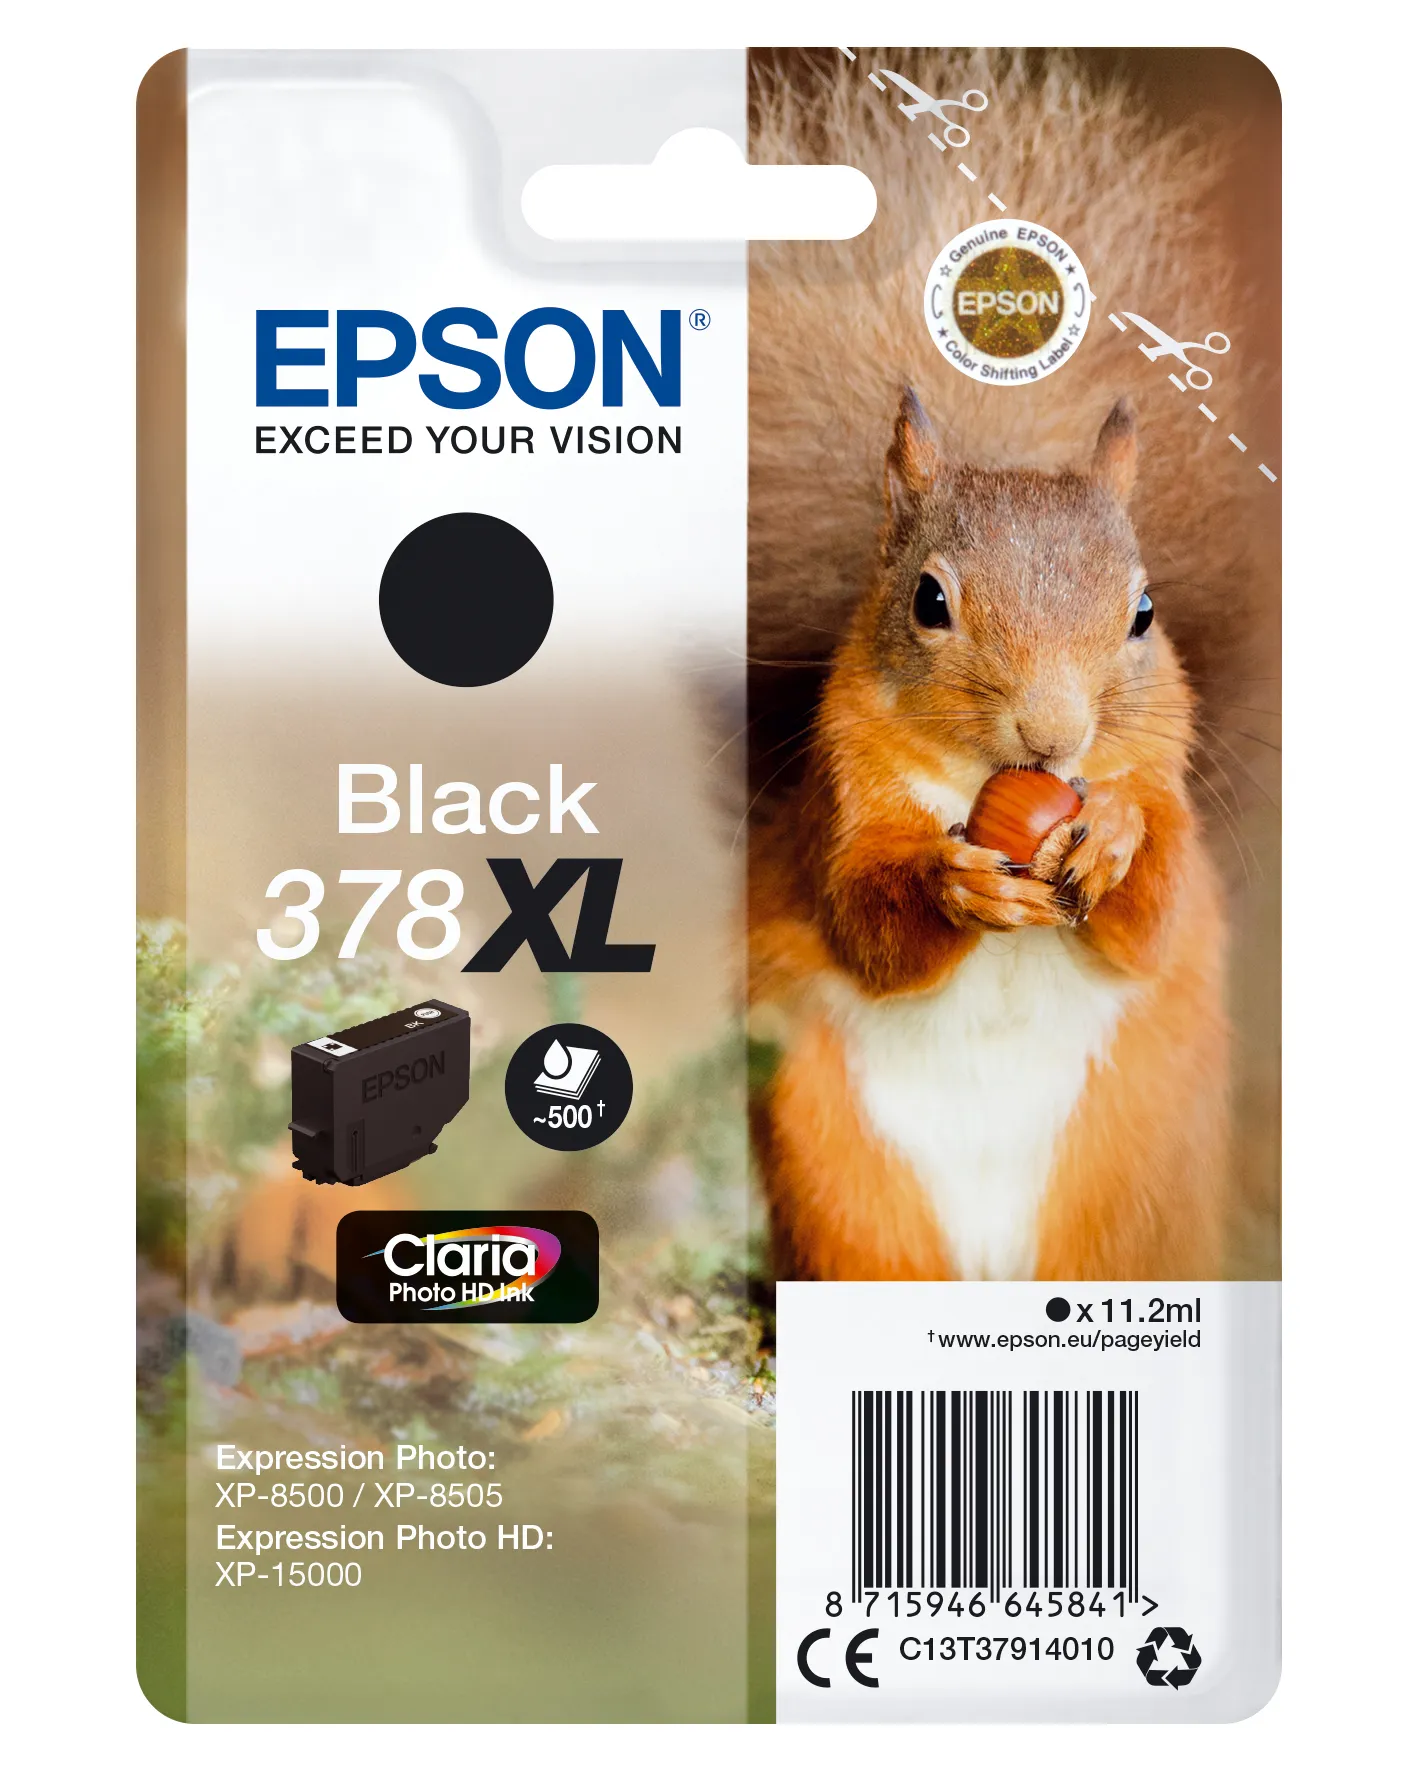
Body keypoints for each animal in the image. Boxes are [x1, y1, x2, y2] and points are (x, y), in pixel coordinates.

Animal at [745, 50, 1276, 1282]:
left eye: (1143, 613)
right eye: (928, 601)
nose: (1054, 735)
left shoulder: (1169, 791)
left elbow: (1155, 910)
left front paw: (1114, 837)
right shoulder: (841, 802)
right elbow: (865, 918)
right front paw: (958, 883)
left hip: (1134, 1180)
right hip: (837, 1173)